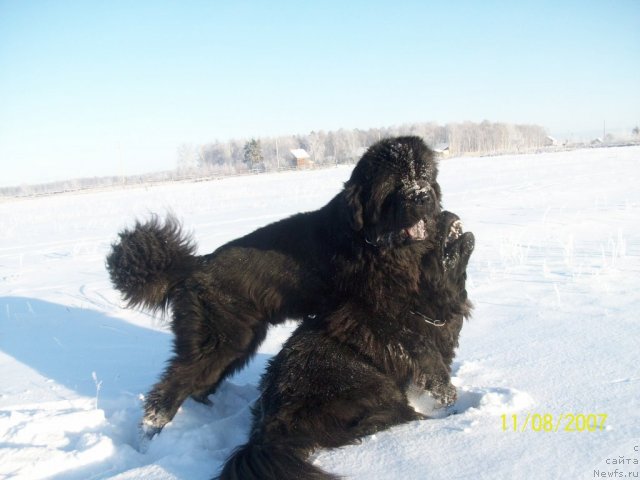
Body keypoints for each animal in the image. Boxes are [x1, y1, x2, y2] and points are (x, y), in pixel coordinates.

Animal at [106, 136, 444, 438]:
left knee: (199, 384)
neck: (369, 240)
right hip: (218, 340)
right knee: (172, 385)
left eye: (424, 175)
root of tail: (194, 267)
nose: (422, 196)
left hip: (237, 344)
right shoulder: (373, 310)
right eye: (394, 182)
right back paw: (153, 430)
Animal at [218, 213, 472, 480]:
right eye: (428, 235)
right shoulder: (398, 338)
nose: (444, 214)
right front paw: (449, 399)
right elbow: (432, 365)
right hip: (378, 386)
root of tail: (272, 426)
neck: (418, 303)